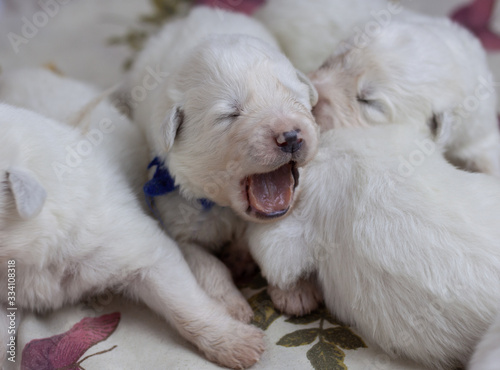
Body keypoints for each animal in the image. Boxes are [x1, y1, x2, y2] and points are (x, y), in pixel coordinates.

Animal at [119, 4, 318, 320]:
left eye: (295, 99)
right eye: (229, 114)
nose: (289, 136)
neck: (226, 208)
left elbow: (275, 246)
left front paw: (295, 291)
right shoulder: (177, 221)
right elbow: (209, 266)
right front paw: (231, 307)